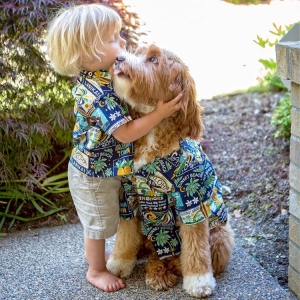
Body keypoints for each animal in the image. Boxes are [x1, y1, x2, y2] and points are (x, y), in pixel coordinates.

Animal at [106, 44, 236, 298]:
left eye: (153, 59)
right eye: (136, 51)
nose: (118, 58)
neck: (153, 131)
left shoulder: (190, 200)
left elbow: (195, 247)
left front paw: (198, 281)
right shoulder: (129, 197)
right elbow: (125, 235)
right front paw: (119, 262)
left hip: (220, 235)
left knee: (178, 253)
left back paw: (168, 268)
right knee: (154, 249)